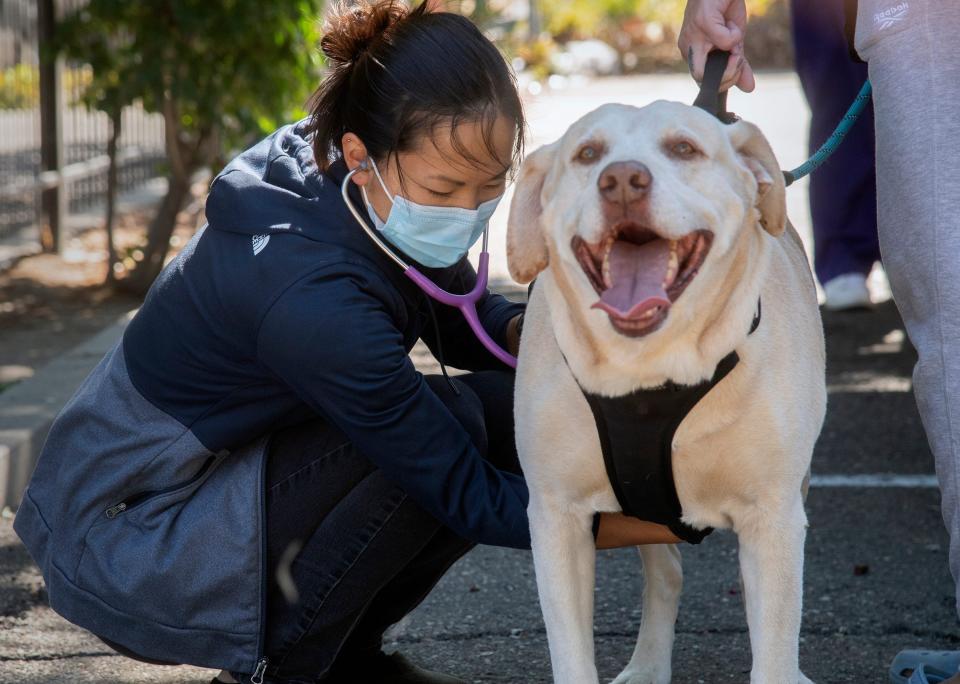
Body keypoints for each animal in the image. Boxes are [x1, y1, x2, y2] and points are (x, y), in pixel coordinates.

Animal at [510, 103, 824, 684]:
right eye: (588, 154)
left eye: (684, 149)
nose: (622, 181)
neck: (650, 367)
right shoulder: (555, 516)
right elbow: (571, 654)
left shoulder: (773, 514)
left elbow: (773, 645)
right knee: (667, 572)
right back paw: (648, 664)